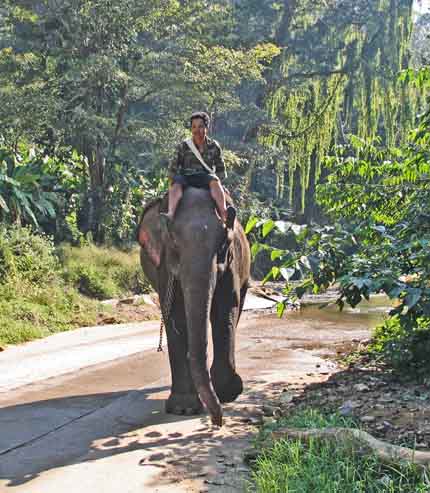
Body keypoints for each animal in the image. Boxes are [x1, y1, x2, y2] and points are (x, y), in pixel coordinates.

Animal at [138, 186, 250, 424]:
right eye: (173, 243)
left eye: (222, 244)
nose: (218, 421)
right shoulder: (164, 265)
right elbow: (175, 314)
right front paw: (183, 409)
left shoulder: (232, 263)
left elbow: (225, 310)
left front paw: (226, 393)